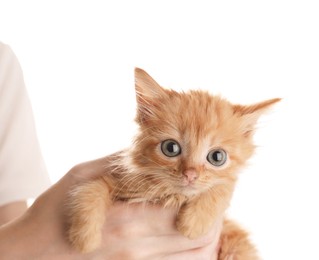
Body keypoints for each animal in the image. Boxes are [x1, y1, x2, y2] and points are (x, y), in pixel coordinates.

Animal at [67, 67, 280, 258]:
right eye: (171, 148)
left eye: (217, 157)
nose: (190, 174)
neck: (172, 196)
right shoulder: (121, 181)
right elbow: (91, 189)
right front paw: (84, 239)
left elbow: (222, 187)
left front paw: (194, 223)